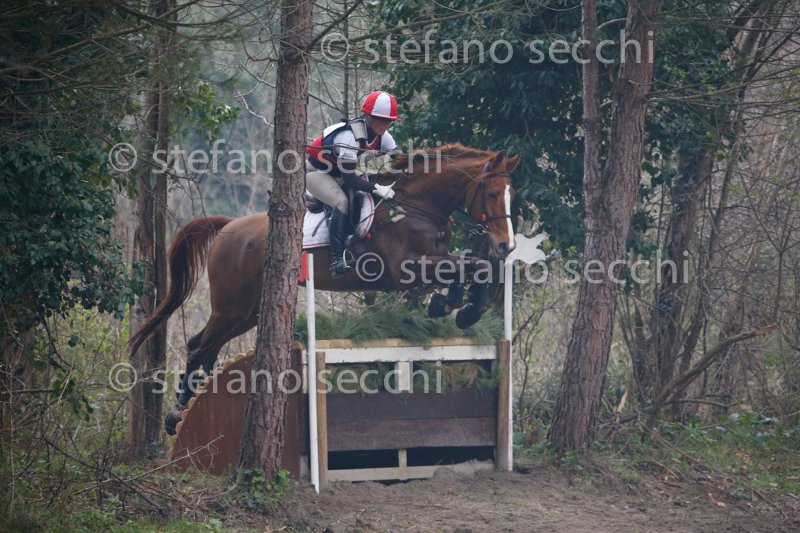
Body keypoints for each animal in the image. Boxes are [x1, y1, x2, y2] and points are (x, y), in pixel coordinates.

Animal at [128, 144, 520, 434]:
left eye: (511, 194)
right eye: (490, 193)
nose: (507, 245)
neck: (417, 206)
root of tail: (228, 227)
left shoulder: (434, 260)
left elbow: (474, 265)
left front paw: (459, 307)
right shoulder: (405, 270)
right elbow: (470, 266)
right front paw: (457, 306)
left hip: (248, 312)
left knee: (206, 346)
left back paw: (183, 408)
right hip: (231, 307)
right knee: (199, 347)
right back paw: (177, 415)